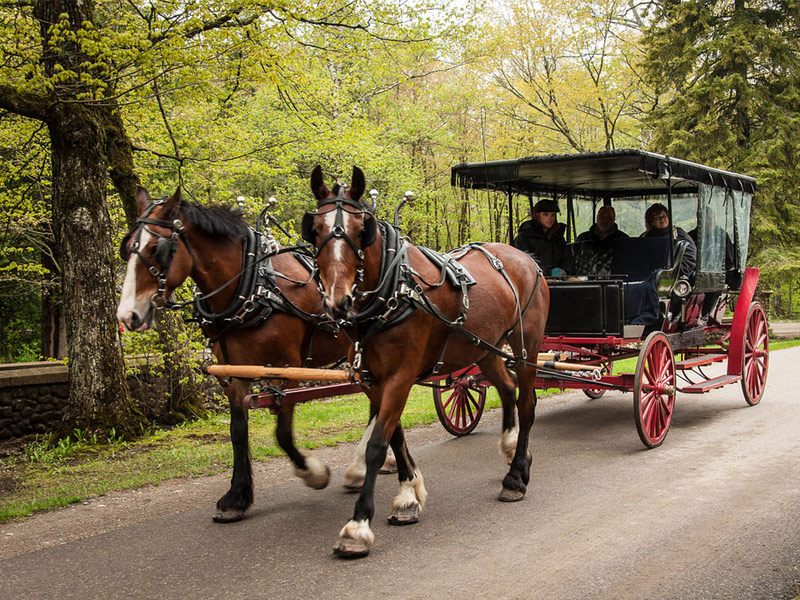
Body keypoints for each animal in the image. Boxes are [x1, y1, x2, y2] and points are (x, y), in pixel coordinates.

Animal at [115, 185, 384, 524]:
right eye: (127, 247)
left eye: (156, 249)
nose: (127, 316)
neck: (252, 287)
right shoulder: (233, 373)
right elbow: (238, 432)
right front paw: (236, 497)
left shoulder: (288, 368)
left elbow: (282, 433)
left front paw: (313, 472)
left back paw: (359, 469)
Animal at [304, 165, 552, 556]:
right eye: (314, 229)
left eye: (362, 230)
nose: (337, 301)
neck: (394, 290)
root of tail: (527, 259)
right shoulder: (372, 379)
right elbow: (394, 436)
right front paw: (408, 495)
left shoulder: (401, 376)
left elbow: (377, 444)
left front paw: (358, 525)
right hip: (484, 349)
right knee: (508, 389)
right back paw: (514, 450)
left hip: (527, 344)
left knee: (527, 403)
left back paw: (515, 478)